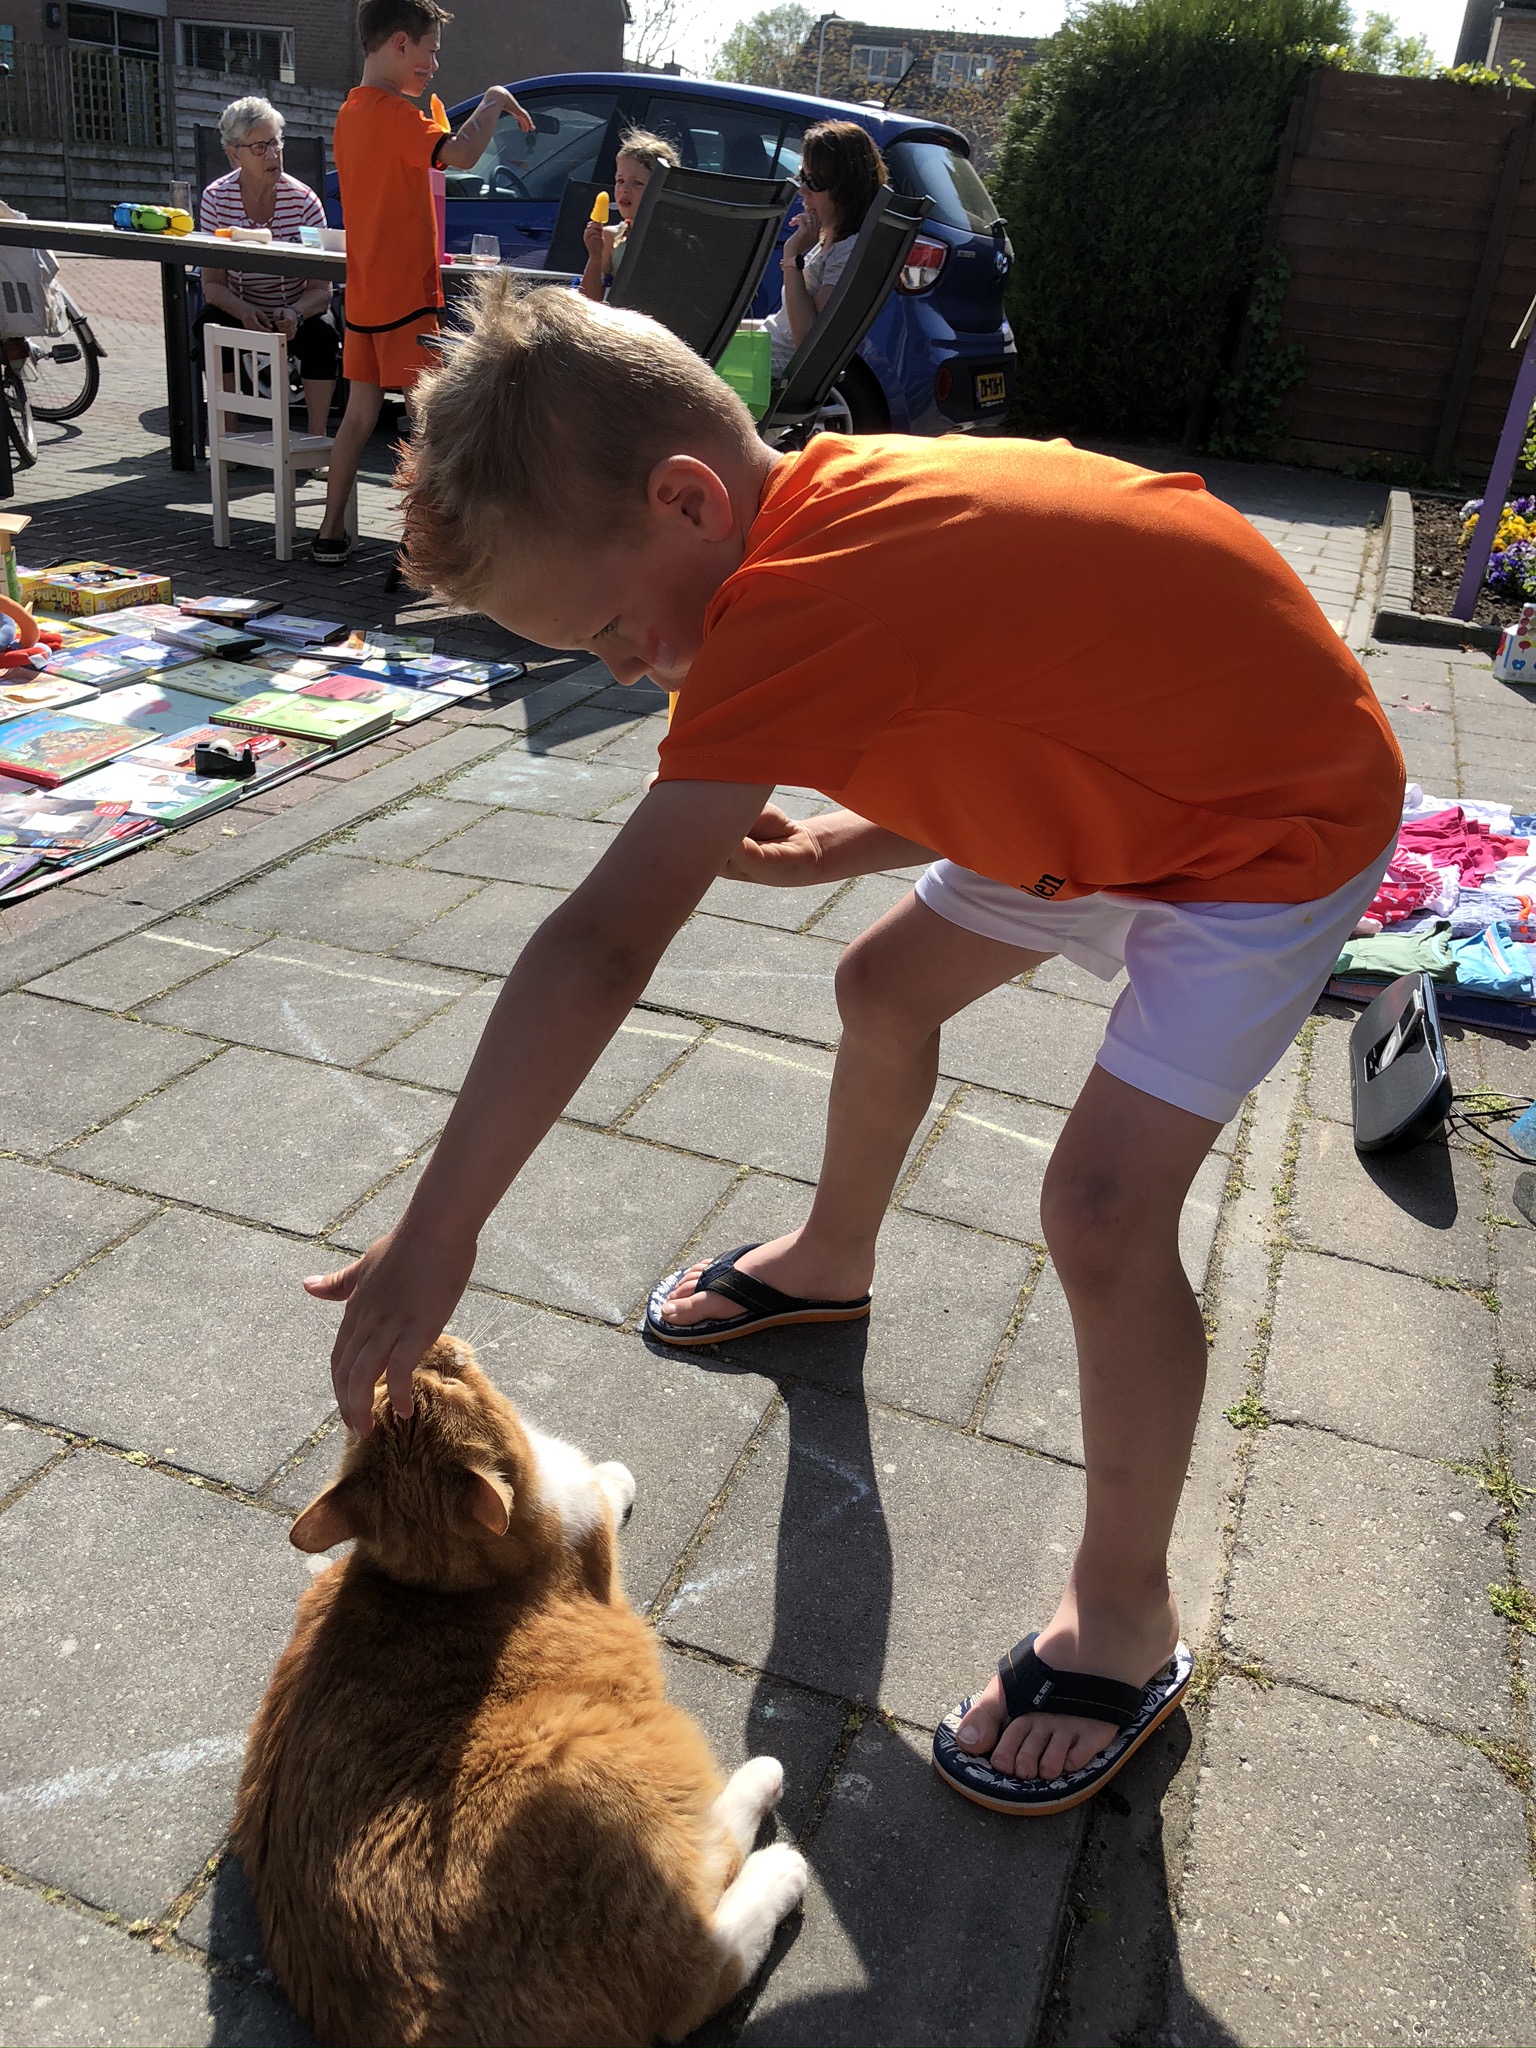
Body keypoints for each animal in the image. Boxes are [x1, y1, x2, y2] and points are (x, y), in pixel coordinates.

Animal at [232, 1334, 807, 2047]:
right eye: (448, 1375)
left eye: (420, 1380)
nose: (439, 1341)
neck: (445, 1582)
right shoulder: (586, 1520)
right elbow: (603, 1485)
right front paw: (615, 1474)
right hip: (601, 1758)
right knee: (701, 1959)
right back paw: (773, 1837)